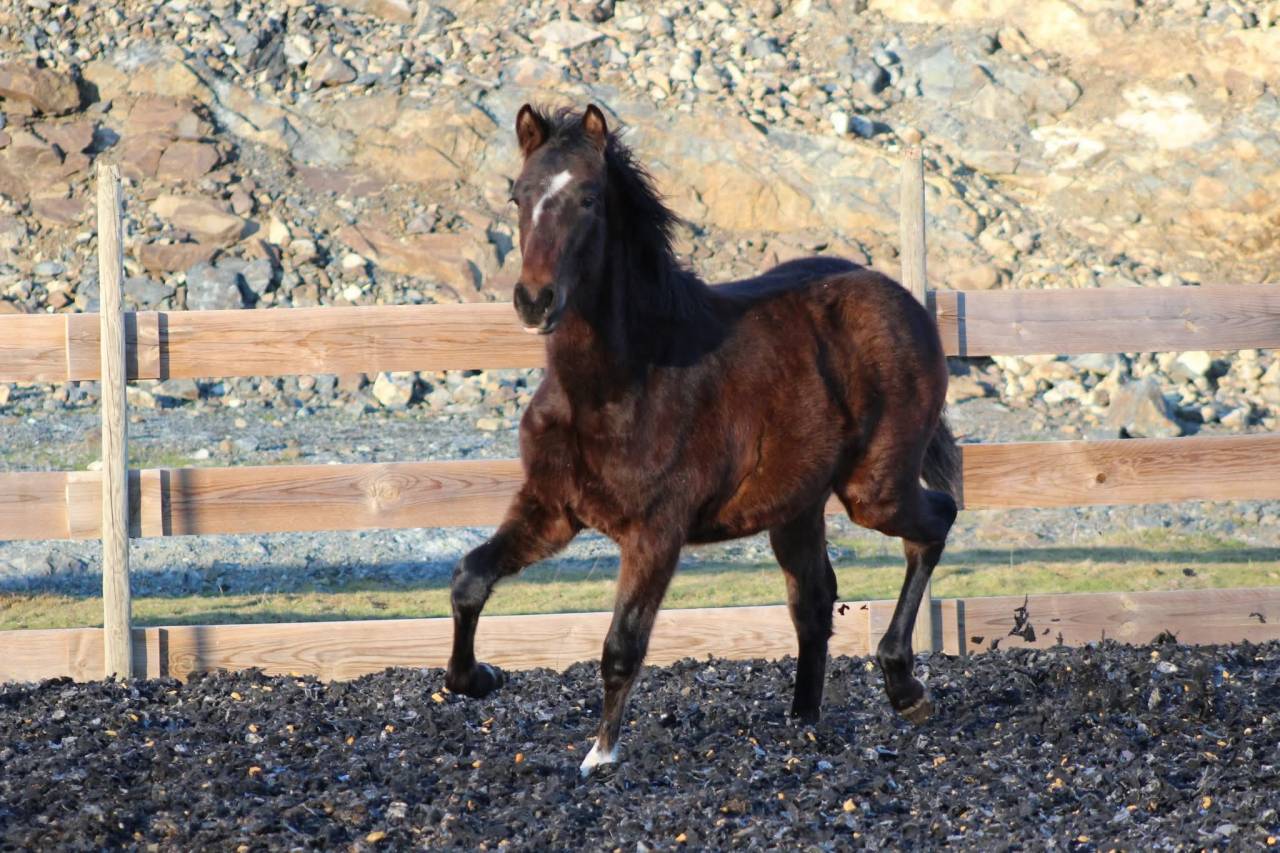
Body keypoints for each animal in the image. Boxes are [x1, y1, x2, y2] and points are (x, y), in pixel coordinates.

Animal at [444, 103, 959, 775]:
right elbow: (469, 579)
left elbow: (622, 643)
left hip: (874, 489)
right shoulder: (550, 510)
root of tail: (907, 303)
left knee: (936, 520)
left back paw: (904, 688)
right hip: (796, 507)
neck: (618, 385)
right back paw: (803, 720)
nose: (535, 301)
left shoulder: (657, 531)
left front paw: (600, 756)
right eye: (518, 194)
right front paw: (478, 678)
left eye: (588, 198)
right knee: (814, 600)